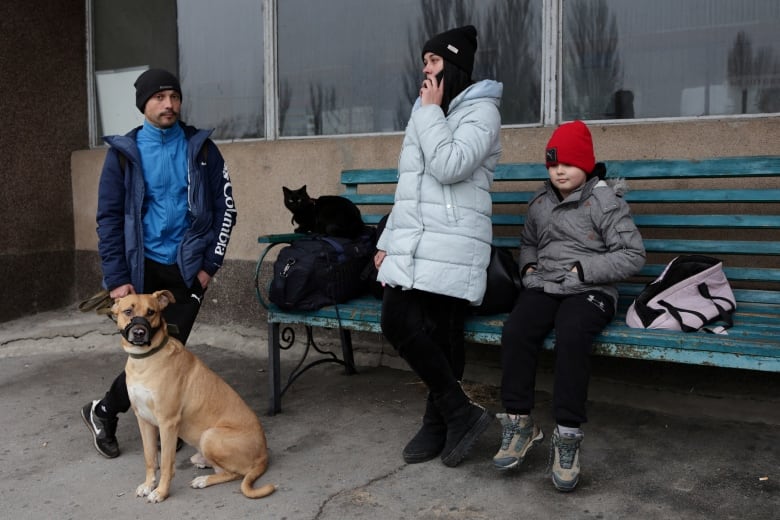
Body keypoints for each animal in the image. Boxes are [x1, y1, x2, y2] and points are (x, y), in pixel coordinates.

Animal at [113, 290, 274, 502]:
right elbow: (150, 458)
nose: (139, 332)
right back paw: (203, 463)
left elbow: (166, 463)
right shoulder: (144, 420)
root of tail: (264, 455)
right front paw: (148, 485)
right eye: (128, 311)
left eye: (151, 312)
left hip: (210, 436)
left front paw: (161, 492)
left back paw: (203, 480)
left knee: (235, 473)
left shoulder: (168, 422)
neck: (145, 360)